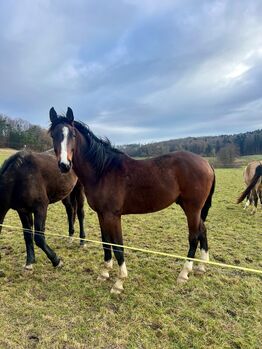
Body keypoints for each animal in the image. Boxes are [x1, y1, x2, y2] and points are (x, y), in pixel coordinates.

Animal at [48, 107, 215, 292]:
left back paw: (184, 273)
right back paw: (201, 267)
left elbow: (118, 246)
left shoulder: (113, 216)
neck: (102, 171)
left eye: (72, 135)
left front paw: (119, 282)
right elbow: (106, 243)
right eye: (53, 135)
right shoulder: (102, 215)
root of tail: (207, 163)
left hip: (192, 209)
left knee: (194, 236)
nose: (64, 165)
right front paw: (104, 273)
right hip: (192, 208)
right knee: (203, 230)